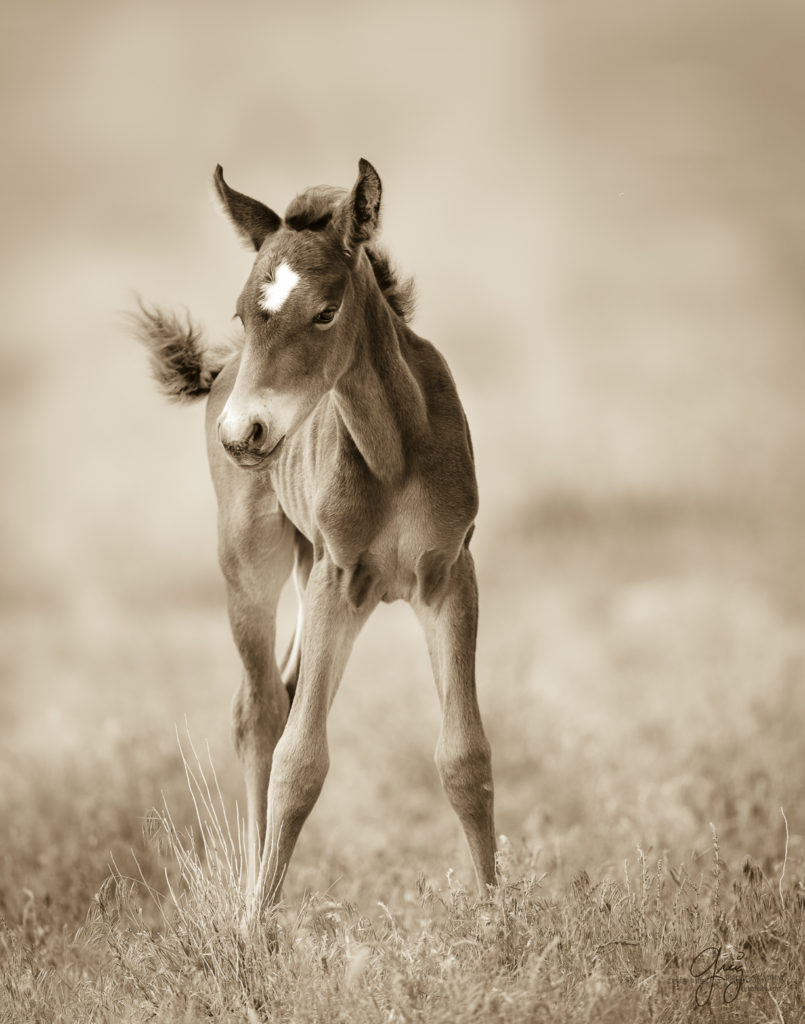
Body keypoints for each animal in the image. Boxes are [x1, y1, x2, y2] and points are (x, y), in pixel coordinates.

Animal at [133, 155, 495, 909]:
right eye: (244, 313)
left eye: (325, 313)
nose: (244, 434)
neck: (394, 453)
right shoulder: (338, 574)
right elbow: (298, 762)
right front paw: (257, 929)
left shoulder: (448, 574)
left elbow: (464, 754)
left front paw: (498, 917)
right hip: (256, 565)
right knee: (260, 711)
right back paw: (250, 898)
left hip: (321, 580)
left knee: (286, 690)